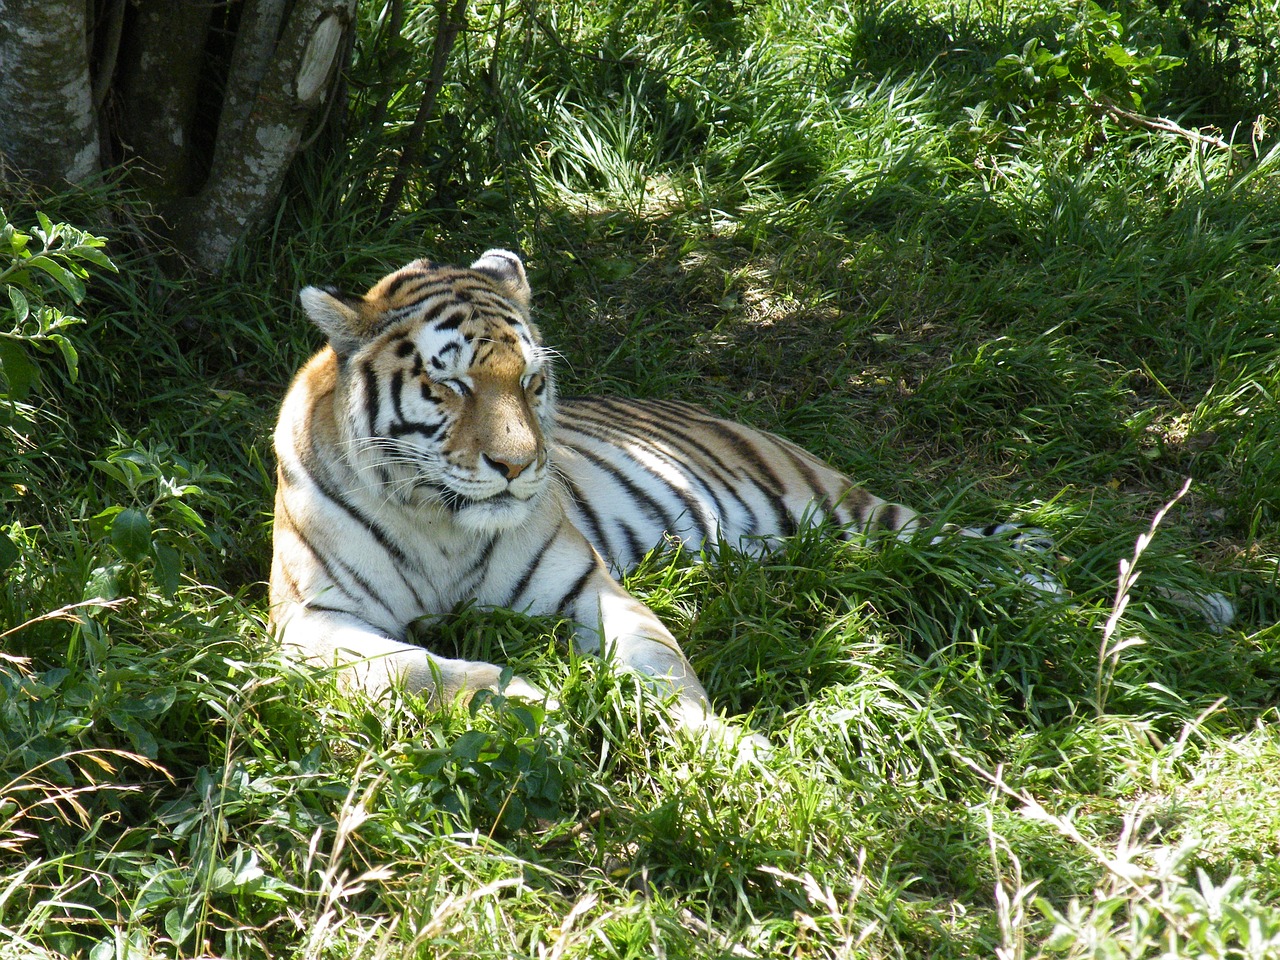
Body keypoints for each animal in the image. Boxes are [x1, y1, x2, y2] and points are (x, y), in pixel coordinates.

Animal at [267, 249, 1049, 742]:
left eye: (531, 381)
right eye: (451, 382)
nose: (519, 465)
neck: (440, 523)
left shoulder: (588, 587)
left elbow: (666, 671)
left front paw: (724, 747)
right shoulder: (311, 621)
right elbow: (422, 671)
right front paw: (533, 701)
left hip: (849, 513)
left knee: (960, 544)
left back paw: (1044, 592)